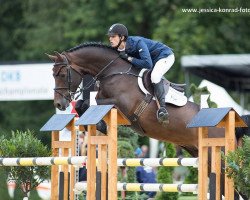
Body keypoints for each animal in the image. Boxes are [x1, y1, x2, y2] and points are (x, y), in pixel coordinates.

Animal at [47, 41, 249, 198]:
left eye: (62, 74)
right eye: (53, 75)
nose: (59, 104)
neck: (113, 71)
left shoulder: (123, 107)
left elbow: (92, 102)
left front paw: (101, 124)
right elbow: (83, 104)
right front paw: (98, 124)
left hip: (219, 159)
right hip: (202, 156)